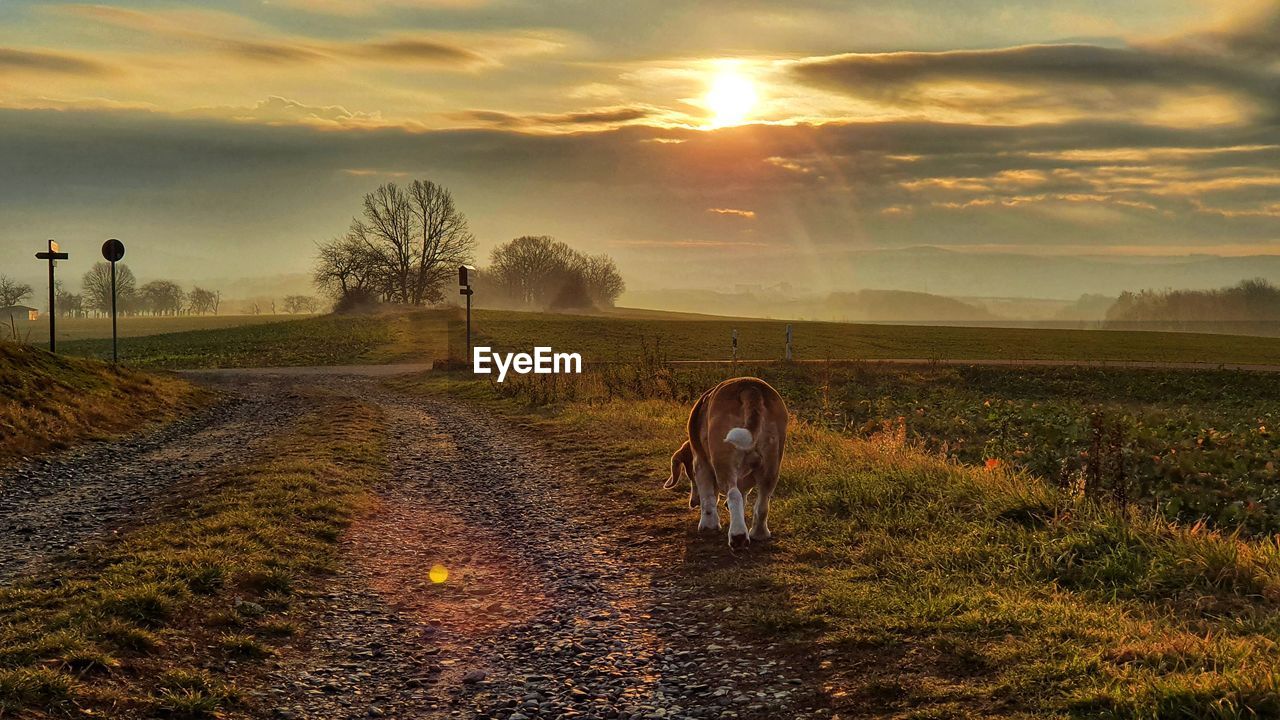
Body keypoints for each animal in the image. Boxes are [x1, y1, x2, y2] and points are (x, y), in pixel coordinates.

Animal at [665, 376, 783, 543]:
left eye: (690, 475)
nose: (693, 503)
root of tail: (750, 387)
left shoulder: (700, 465)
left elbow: (708, 497)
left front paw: (708, 525)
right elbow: (743, 494)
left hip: (723, 463)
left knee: (734, 495)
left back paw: (738, 535)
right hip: (771, 468)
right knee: (762, 503)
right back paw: (759, 533)